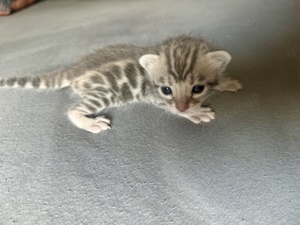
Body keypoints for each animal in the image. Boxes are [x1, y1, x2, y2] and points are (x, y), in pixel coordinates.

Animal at [0, 35, 241, 133]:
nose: (183, 107)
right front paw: (195, 113)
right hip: (105, 93)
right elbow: (169, 108)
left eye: (198, 88)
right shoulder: (153, 96)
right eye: (166, 90)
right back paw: (90, 123)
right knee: (73, 110)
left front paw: (225, 82)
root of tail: (76, 68)